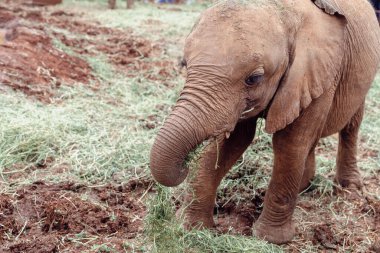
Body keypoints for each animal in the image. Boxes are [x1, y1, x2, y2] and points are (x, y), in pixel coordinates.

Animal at [150, 0, 378, 244]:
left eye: (254, 78)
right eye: (184, 64)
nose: (184, 166)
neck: (283, 12)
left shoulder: (320, 74)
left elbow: (289, 143)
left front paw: (269, 239)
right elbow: (233, 141)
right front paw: (193, 228)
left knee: (350, 126)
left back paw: (349, 188)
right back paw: (304, 186)